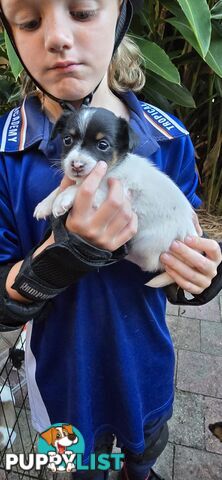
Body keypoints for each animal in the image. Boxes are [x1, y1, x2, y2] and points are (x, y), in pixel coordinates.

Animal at [34, 108, 198, 288]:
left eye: (103, 145)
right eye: (67, 139)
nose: (76, 165)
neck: (112, 168)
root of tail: (188, 233)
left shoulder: (113, 192)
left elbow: (78, 188)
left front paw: (62, 199)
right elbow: (59, 189)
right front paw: (44, 205)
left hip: (148, 242)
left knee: (149, 264)